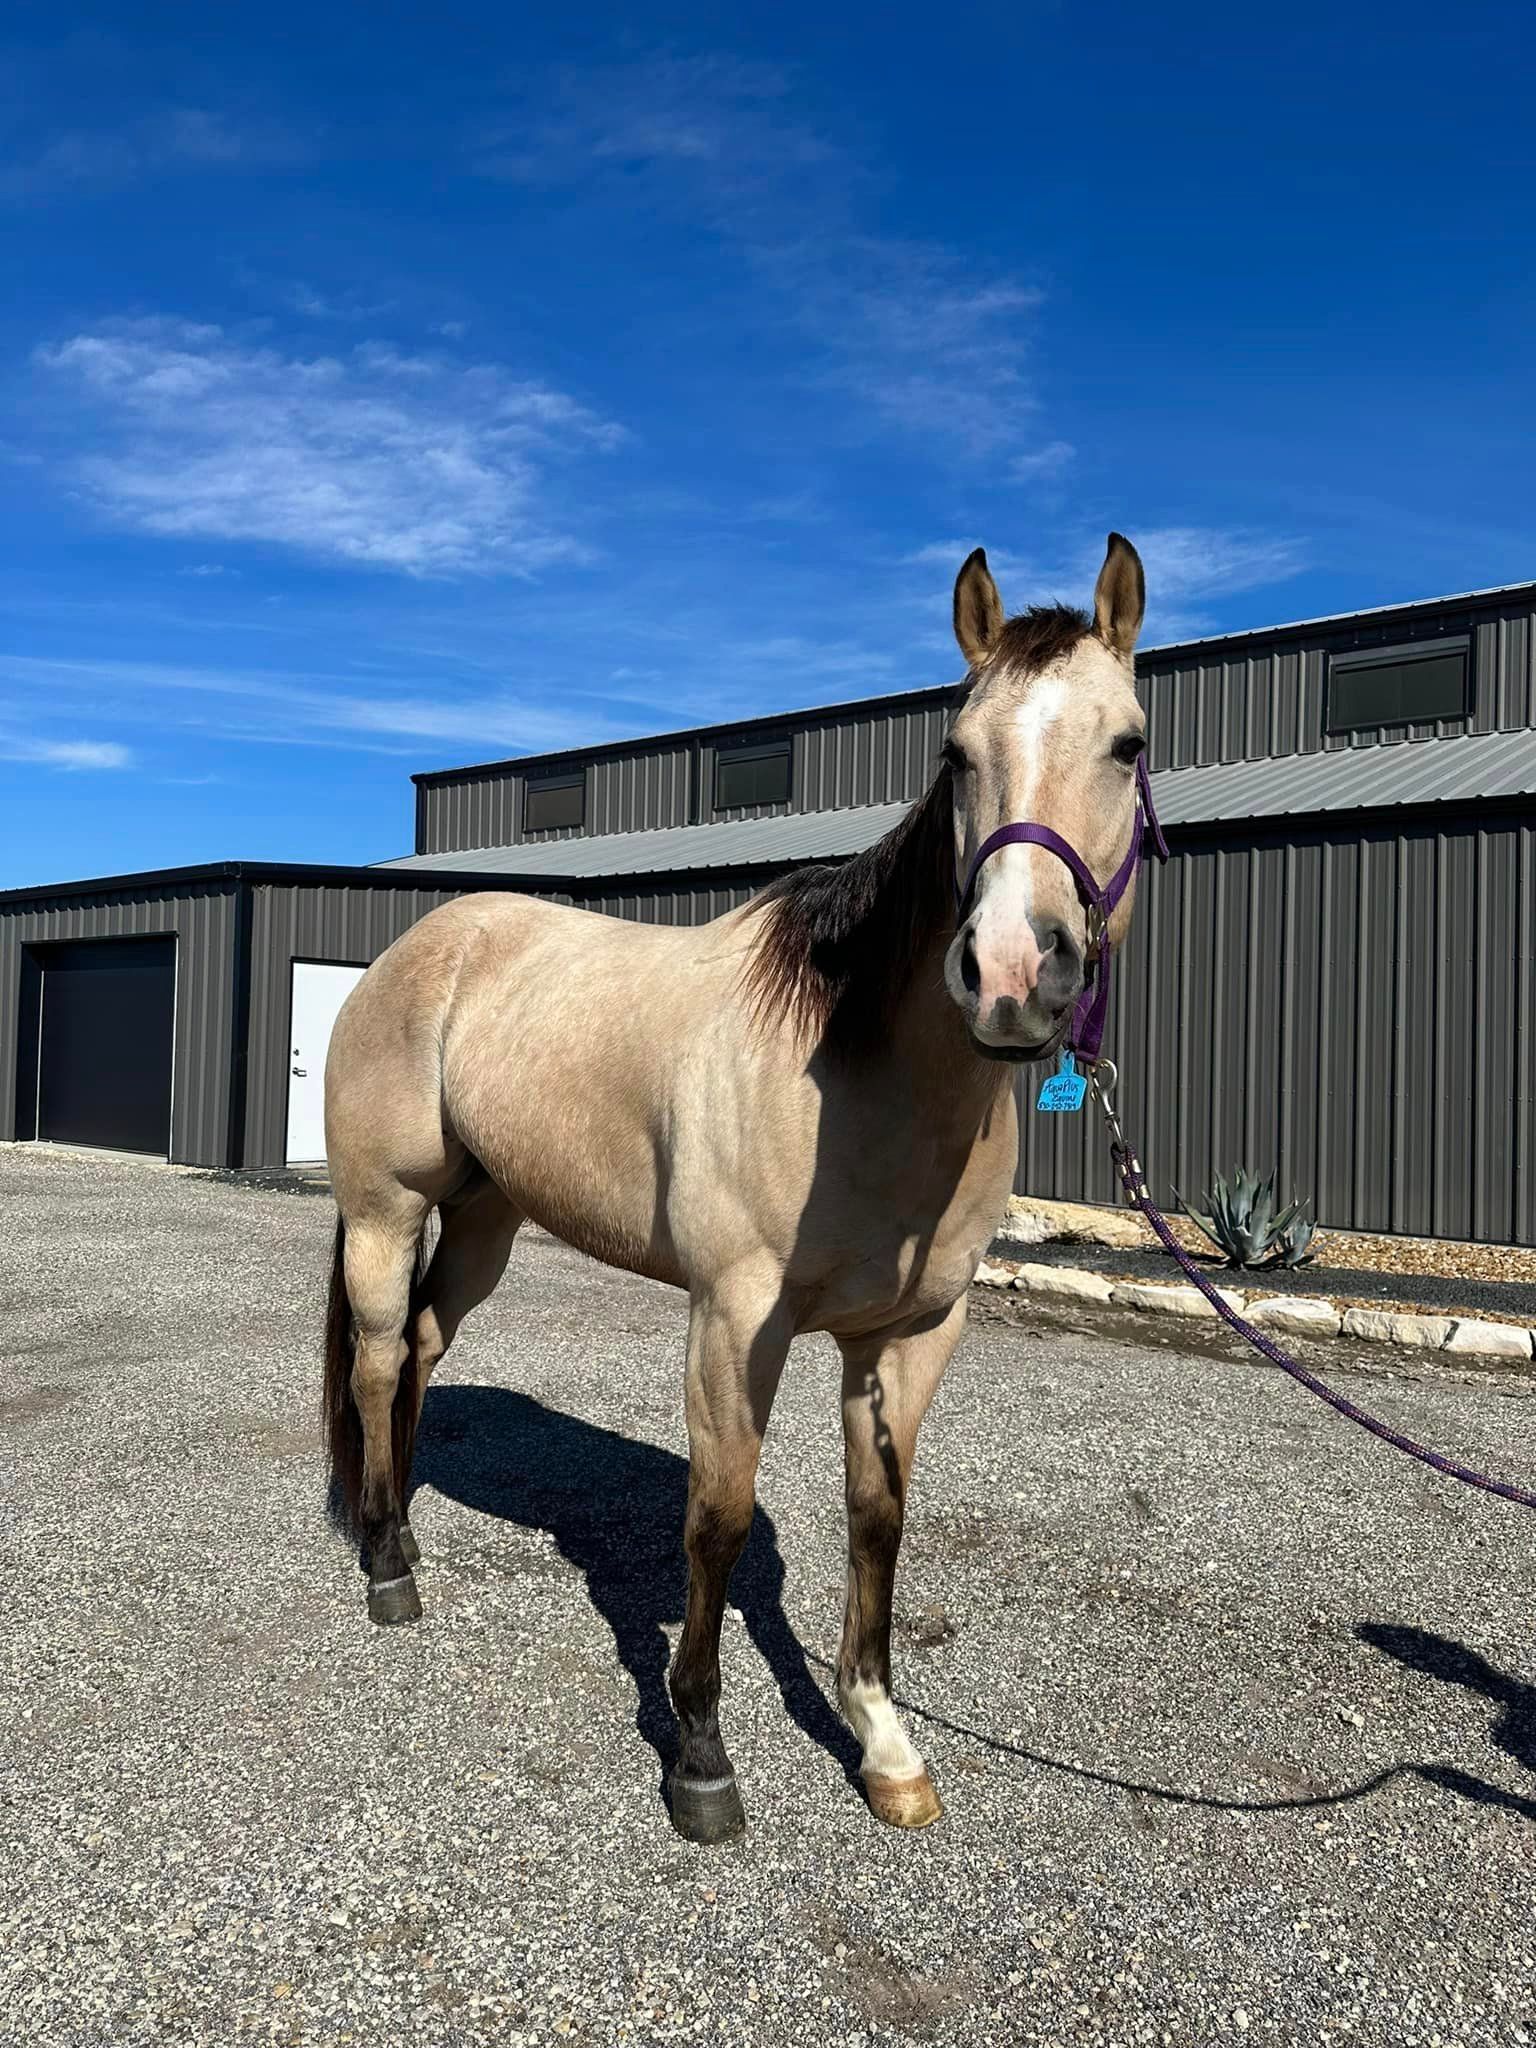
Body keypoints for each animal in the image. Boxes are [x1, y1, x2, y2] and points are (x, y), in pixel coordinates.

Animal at [321, 534, 1151, 1843]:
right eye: (955, 753)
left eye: (1127, 743)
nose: (1013, 972)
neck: (855, 1071)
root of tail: (414, 949)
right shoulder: (734, 1318)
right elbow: (714, 1518)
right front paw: (701, 1755)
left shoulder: (912, 1332)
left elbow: (879, 1514)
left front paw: (883, 1740)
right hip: (385, 1209)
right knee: (370, 1354)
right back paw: (389, 1571)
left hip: (489, 1216)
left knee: (418, 1348)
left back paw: (393, 1527)